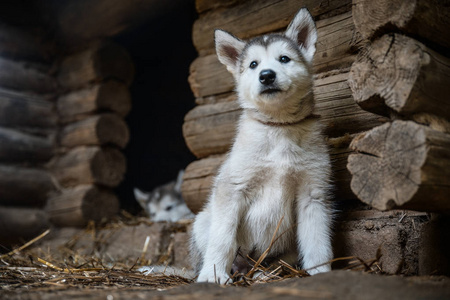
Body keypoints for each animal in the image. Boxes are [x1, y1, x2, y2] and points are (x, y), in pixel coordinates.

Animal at [190, 7, 334, 284]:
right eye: (253, 64)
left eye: (284, 59)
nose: (266, 75)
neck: (279, 128)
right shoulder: (232, 188)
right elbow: (223, 238)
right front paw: (213, 275)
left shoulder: (313, 193)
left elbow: (317, 241)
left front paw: (321, 272)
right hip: (203, 220)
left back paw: (263, 273)